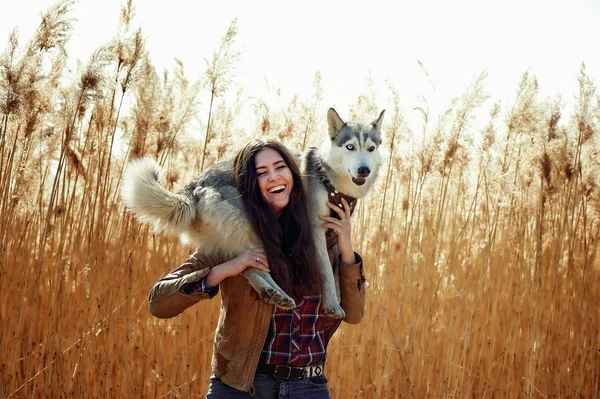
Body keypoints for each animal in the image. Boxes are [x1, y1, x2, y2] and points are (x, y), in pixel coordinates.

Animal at [122, 108, 384, 318]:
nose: (364, 169)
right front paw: (332, 305)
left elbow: (339, 266)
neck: (331, 181)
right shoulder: (314, 230)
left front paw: (342, 298)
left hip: (227, 240)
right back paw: (276, 293)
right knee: (251, 265)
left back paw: (272, 293)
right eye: (350, 147)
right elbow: (327, 272)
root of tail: (193, 186)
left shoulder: (338, 229)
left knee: (242, 265)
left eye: (371, 148)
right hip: (253, 231)